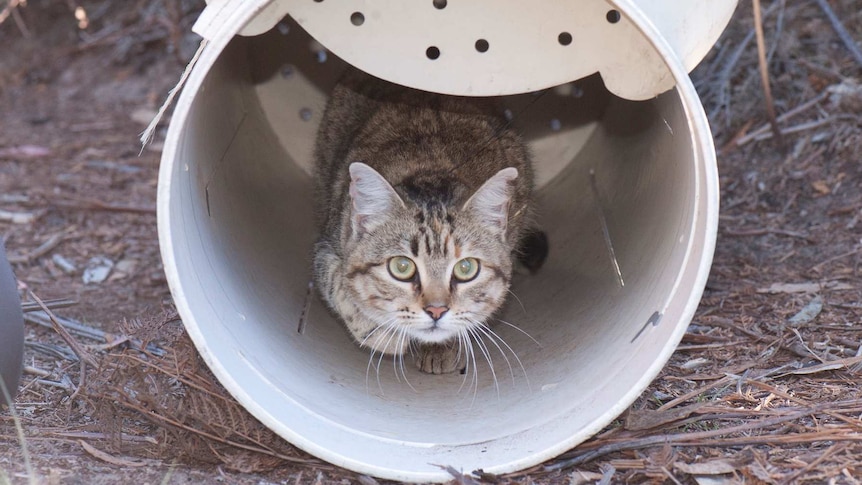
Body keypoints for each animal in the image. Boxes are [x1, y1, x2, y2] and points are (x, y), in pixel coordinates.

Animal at [312, 70, 548, 374]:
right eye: (401, 267)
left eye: (466, 268)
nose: (437, 310)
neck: (431, 170)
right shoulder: (327, 244)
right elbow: (337, 283)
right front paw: (381, 333)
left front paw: (442, 347)